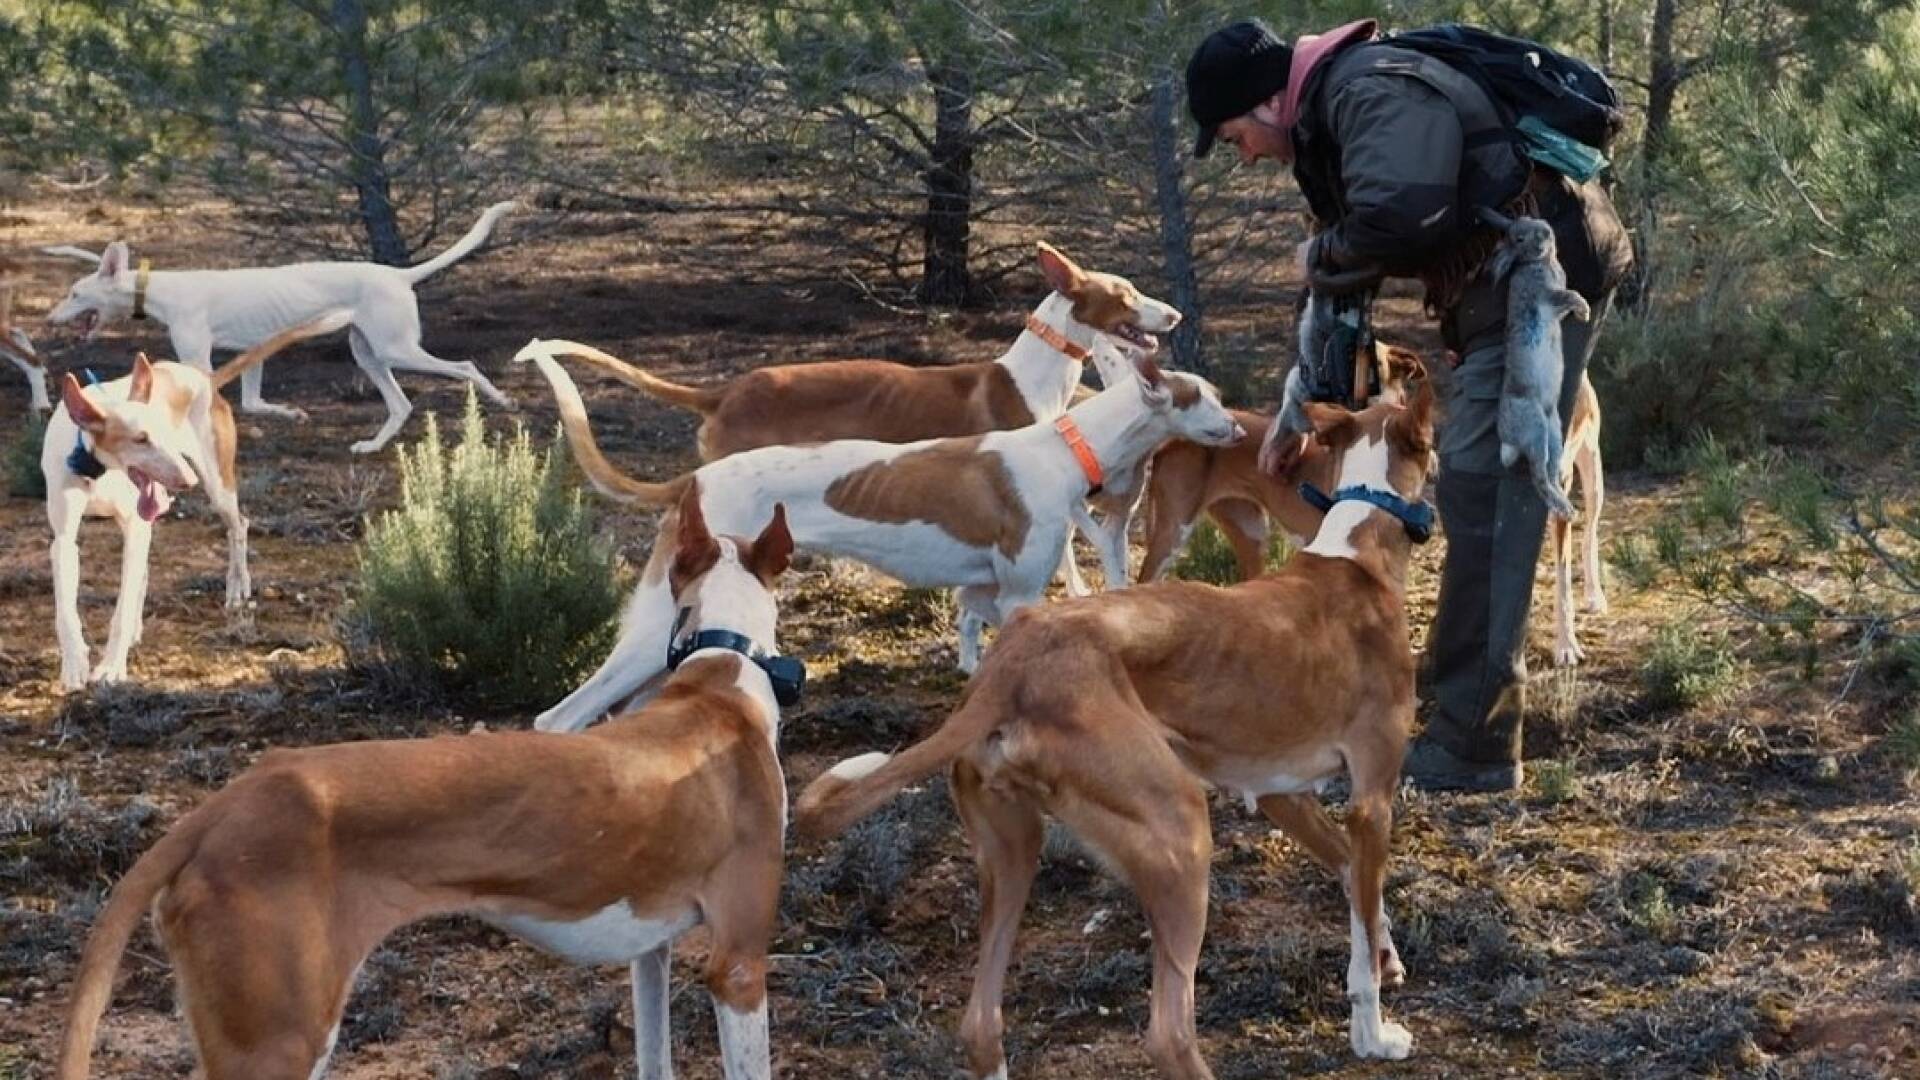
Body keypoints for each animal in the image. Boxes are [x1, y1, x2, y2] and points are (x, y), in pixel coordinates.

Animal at [43, 307, 351, 684]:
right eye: (140, 439)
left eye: (162, 431)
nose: (187, 481)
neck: (99, 468)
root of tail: (204, 378)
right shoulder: (64, 539)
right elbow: (66, 610)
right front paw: (74, 664)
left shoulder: (135, 525)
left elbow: (122, 607)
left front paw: (112, 666)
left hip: (218, 485)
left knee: (239, 525)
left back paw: (237, 588)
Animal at [46, 201, 518, 449]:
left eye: (74, 293)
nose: (48, 318)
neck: (166, 290)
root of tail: (400, 275)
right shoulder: (250, 355)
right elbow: (254, 403)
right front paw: (291, 413)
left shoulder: (201, 361)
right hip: (367, 353)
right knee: (401, 405)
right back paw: (371, 445)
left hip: (395, 349)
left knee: (465, 367)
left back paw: (502, 399)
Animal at [58, 484, 794, 1076]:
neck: (721, 670)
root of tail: (217, 810)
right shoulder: (737, 965)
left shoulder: (651, 952)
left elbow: (652, 1056)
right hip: (278, 1041)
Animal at [514, 332, 1244, 726]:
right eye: (1202, 398)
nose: (1240, 428)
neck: (1065, 446)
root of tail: (694, 480)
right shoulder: (1018, 596)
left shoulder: (987, 592)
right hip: (661, 632)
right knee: (559, 717)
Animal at [787, 382, 1436, 1068]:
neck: (1357, 545)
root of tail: (1007, 670)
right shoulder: (1371, 800)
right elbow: (1361, 927)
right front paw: (1373, 1033)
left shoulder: (1279, 793)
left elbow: (1355, 888)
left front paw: (1386, 955)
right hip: (1179, 832)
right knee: (1169, 1033)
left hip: (1012, 849)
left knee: (981, 1023)